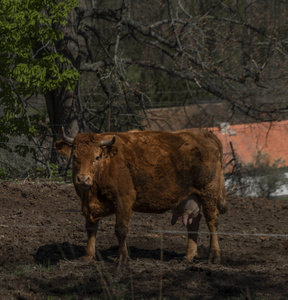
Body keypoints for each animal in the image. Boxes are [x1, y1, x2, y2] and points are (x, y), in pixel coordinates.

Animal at [55, 127, 226, 264]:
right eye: (75, 156)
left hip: (209, 192)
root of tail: (205, 133)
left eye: (96, 157)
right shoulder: (88, 206)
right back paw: (188, 257)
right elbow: (91, 228)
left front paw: (122, 257)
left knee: (212, 221)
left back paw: (214, 256)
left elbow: (121, 229)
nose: (83, 179)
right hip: (190, 196)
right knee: (193, 223)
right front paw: (88, 256)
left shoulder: (124, 199)